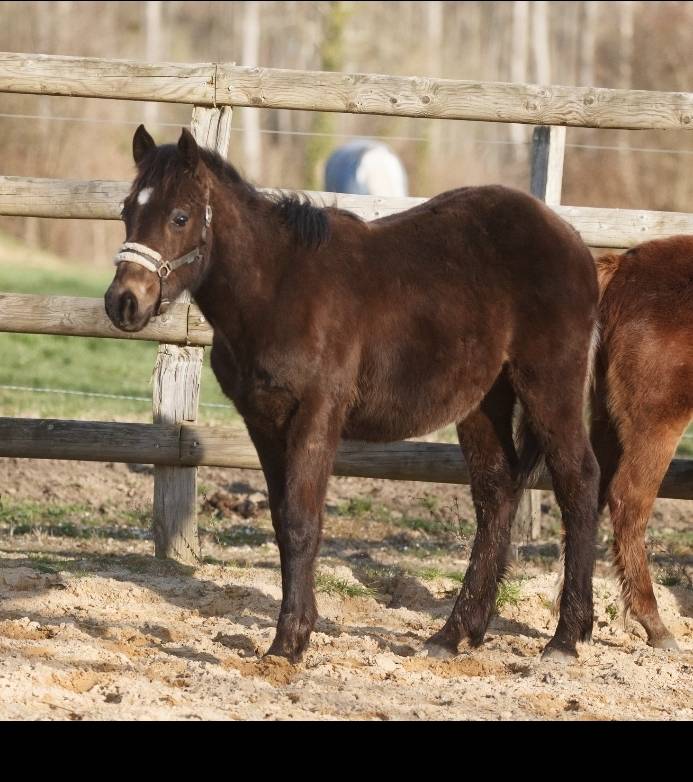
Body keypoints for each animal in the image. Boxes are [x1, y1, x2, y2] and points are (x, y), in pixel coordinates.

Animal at [105, 125, 600, 663]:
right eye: (127, 210)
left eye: (180, 216)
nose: (123, 302)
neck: (276, 289)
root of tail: (572, 239)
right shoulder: (263, 422)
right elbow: (282, 522)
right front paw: (294, 633)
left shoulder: (317, 413)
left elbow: (302, 521)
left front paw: (288, 642)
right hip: (483, 401)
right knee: (496, 495)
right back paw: (455, 633)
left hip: (549, 385)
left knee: (579, 483)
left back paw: (566, 637)